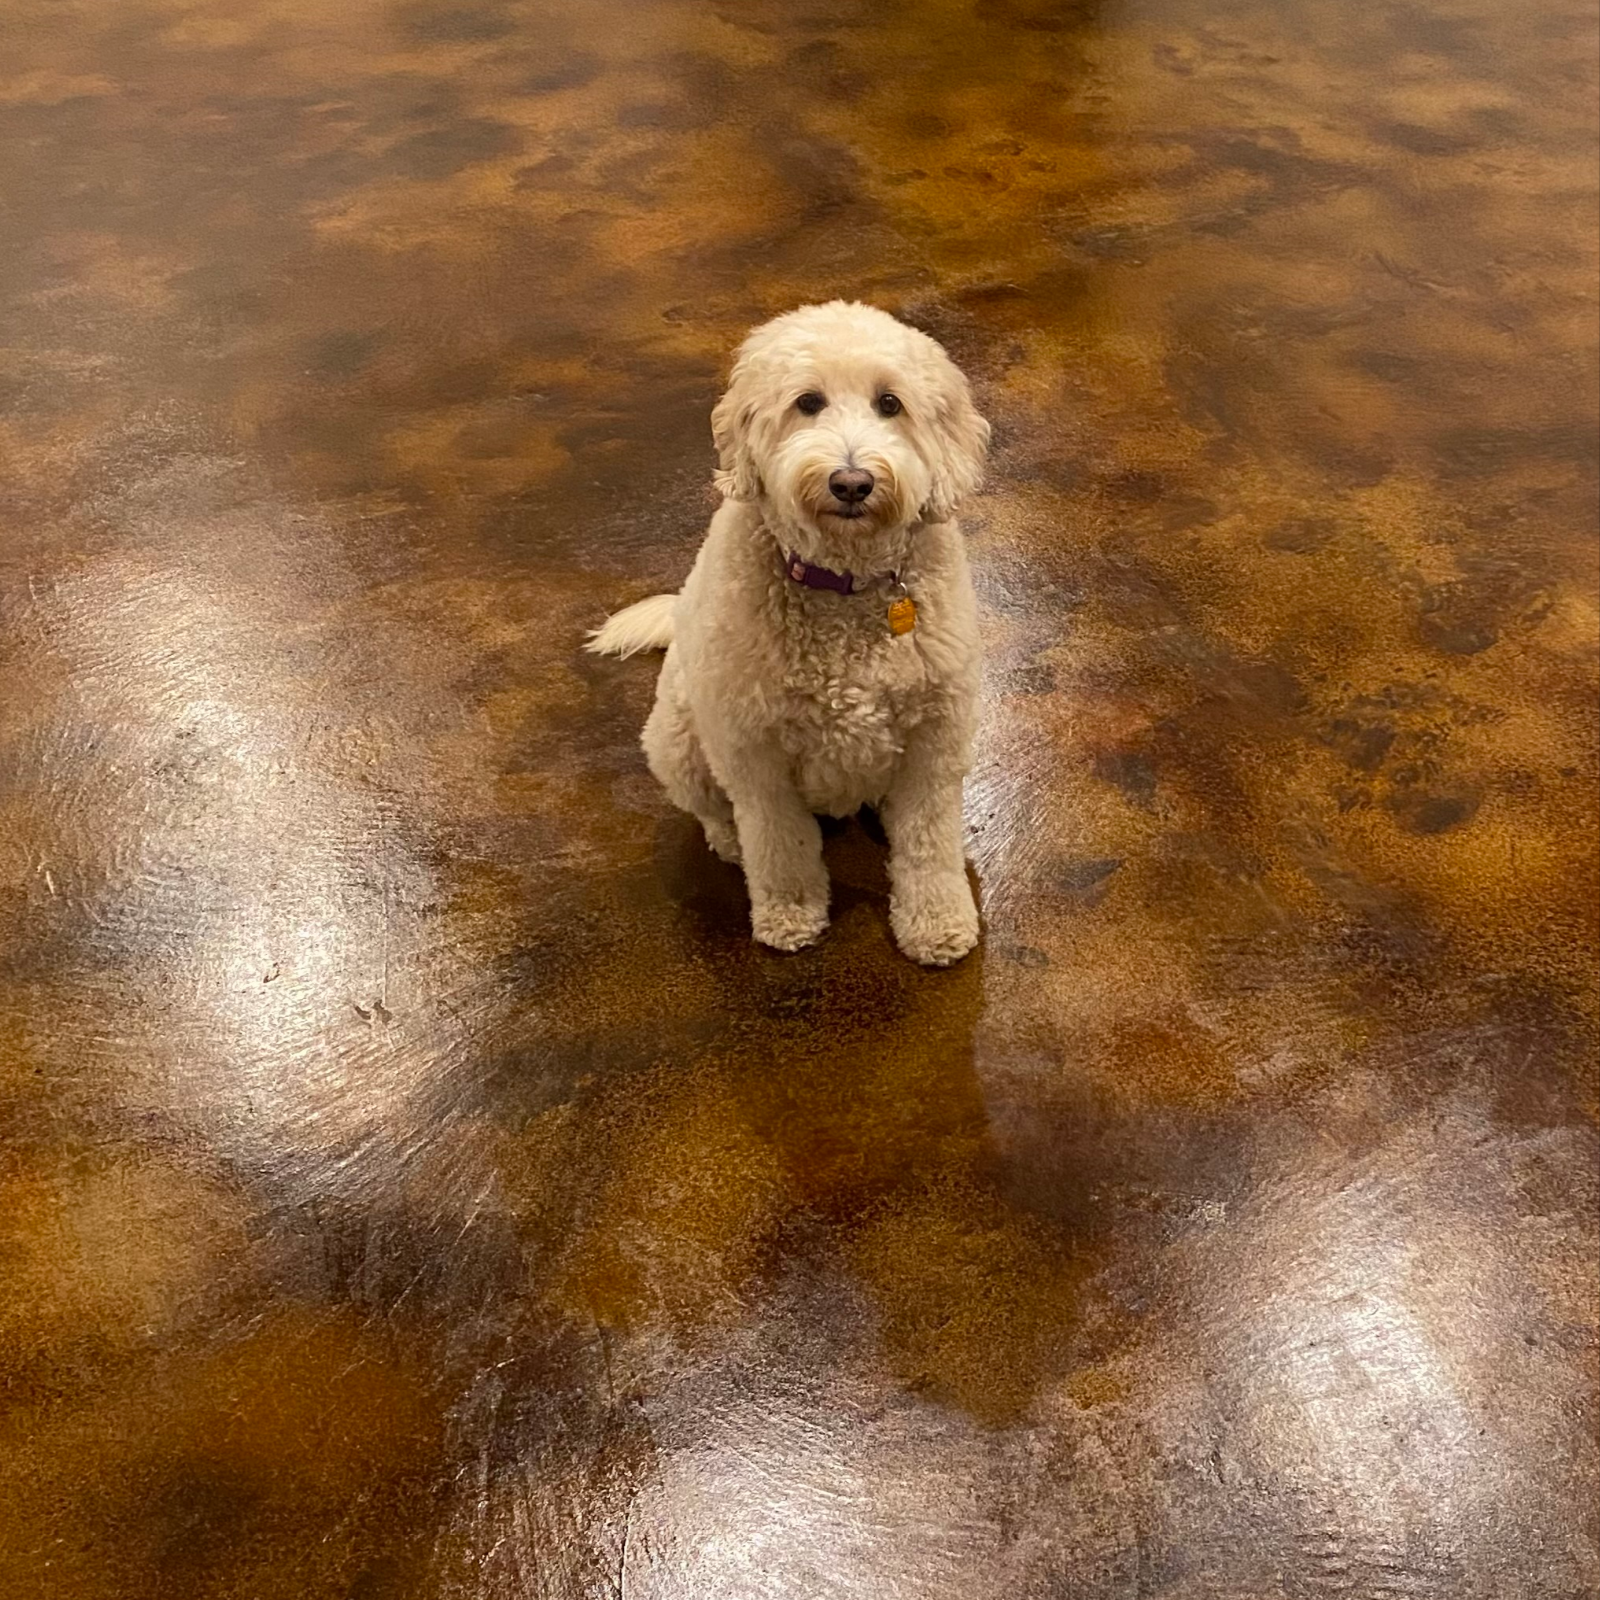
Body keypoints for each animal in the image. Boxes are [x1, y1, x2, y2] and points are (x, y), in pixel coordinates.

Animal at [588, 305, 985, 966]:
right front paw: (791, 914)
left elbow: (929, 844)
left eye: (890, 403)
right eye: (807, 402)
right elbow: (780, 844)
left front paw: (936, 923)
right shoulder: (756, 754)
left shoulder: (936, 739)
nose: (852, 482)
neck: (844, 583)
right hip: (678, 741)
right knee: (714, 811)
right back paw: (728, 842)